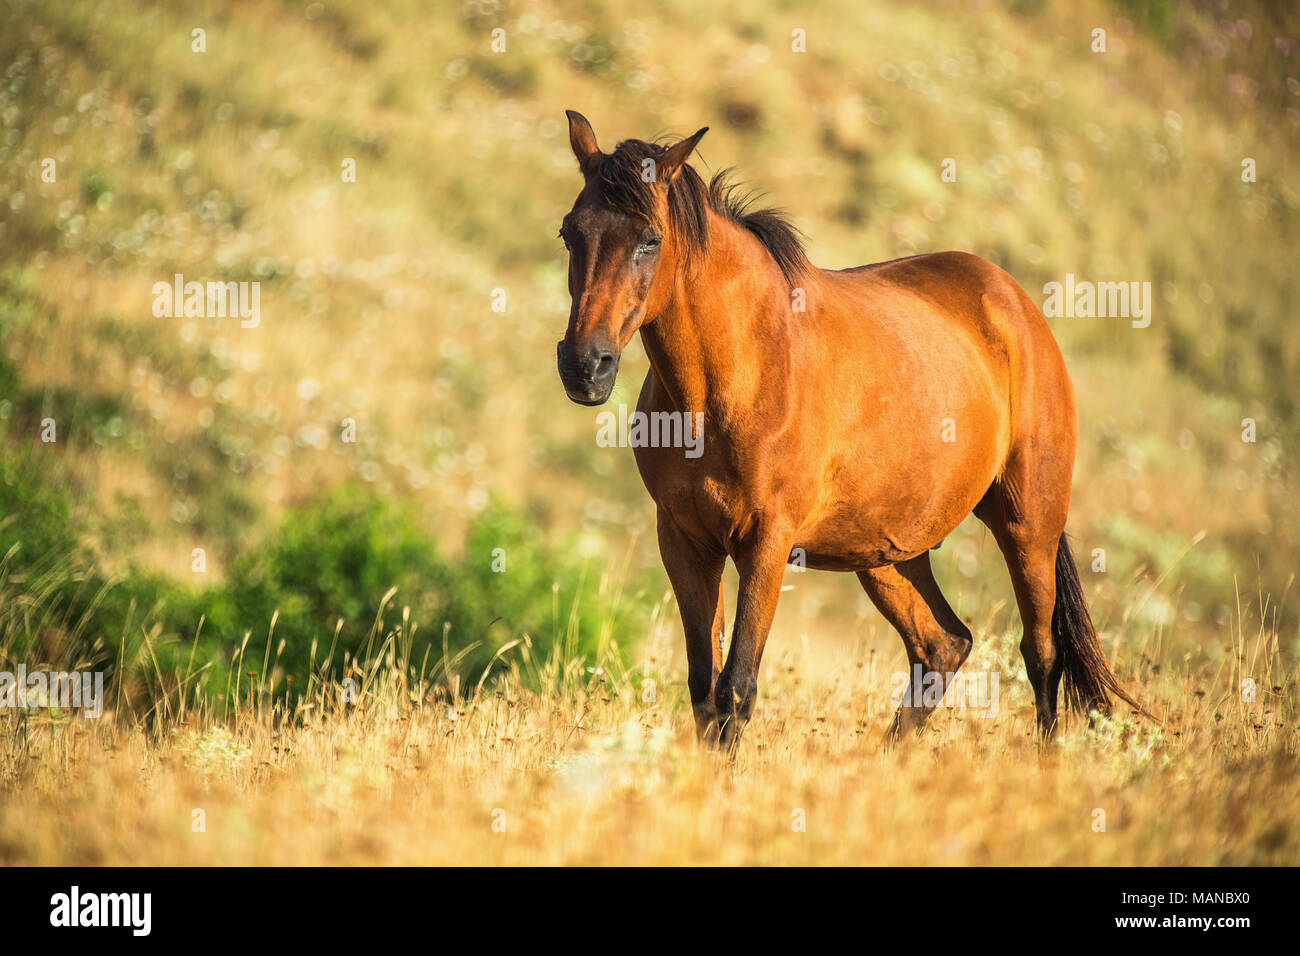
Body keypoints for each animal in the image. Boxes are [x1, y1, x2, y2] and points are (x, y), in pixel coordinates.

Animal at [553, 106, 1144, 749]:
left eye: (650, 240)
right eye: (569, 232)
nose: (584, 366)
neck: (736, 375)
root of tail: (1017, 304)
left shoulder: (767, 542)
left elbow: (736, 689)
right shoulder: (686, 542)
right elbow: (704, 694)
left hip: (1028, 525)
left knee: (1041, 655)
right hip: (890, 552)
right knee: (942, 645)